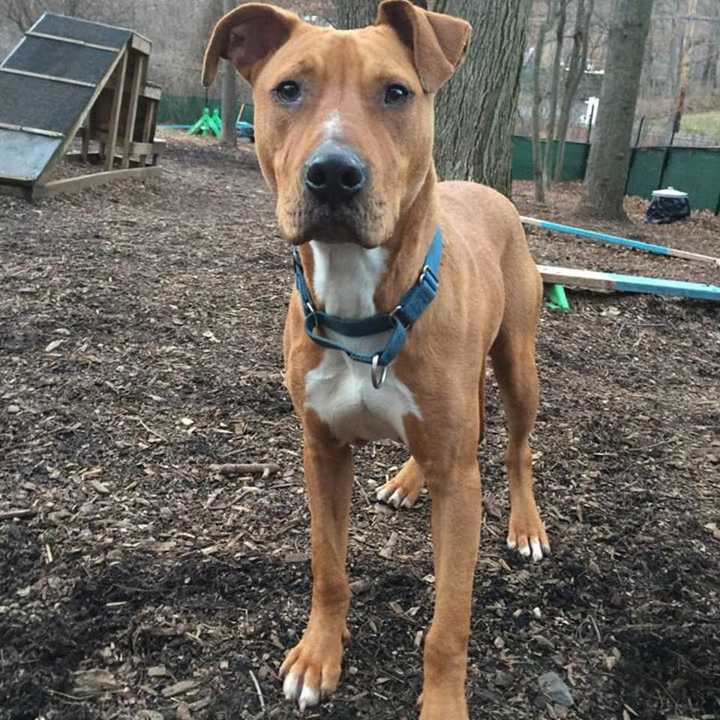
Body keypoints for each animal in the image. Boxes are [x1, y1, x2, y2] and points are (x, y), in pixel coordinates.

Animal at [201, 2, 544, 716]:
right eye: (287, 89)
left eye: (396, 92)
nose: (334, 172)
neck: (362, 306)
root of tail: (490, 191)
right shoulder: (323, 450)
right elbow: (328, 567)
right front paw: (318, 655)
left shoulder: (461, 488)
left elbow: (449, 621)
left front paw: (443, 703)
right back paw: (409, 479)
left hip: (518, 363)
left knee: (517, 446)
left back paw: (526, 525)